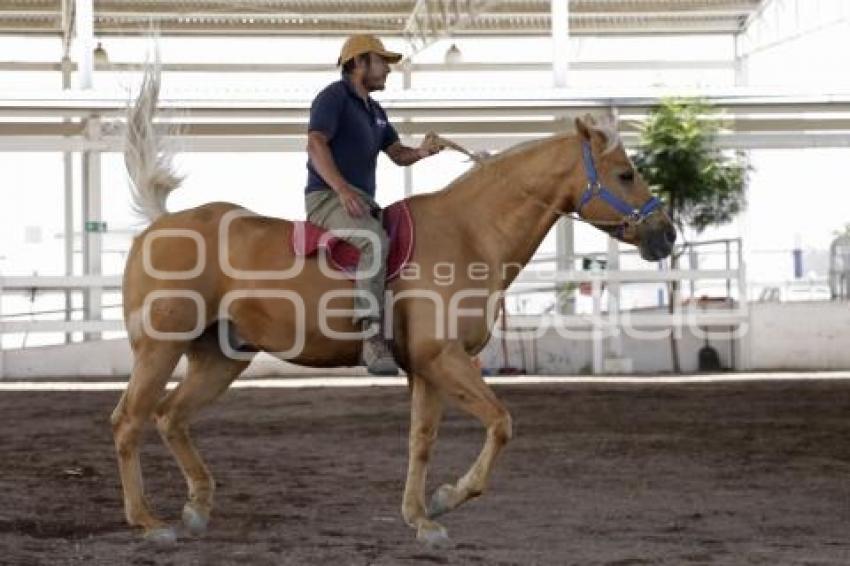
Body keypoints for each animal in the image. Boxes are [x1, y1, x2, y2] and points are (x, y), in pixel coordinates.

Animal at [111, 62, 676, 544]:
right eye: (625, 174)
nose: (666, 234)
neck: (469, 232)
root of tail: (162, 223)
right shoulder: (442, 358)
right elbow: (500, 423)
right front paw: (447, 498)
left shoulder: (427, 368)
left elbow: (420, 440)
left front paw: (421, 517)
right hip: (159, 350)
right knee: (129, 421)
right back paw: (147, 521)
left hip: (220, 359)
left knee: (169, 417)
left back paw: (197, 506)